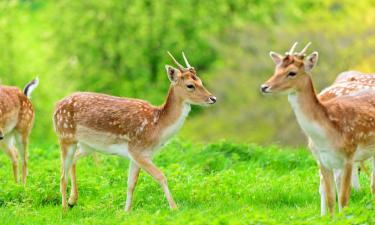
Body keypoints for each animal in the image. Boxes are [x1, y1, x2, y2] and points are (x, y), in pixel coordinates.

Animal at [53, 51, 217, 211]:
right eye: (190, 85)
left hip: (86, 145)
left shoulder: (137, 155)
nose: (213, 98)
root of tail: (55, 108)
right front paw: (174, 208)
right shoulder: (137, 150)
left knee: (74, 160)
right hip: (65, 137)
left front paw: (126, 212)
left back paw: (72, 200)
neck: (157, 126)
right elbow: (161, 176)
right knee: (62, 176)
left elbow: (131, 184)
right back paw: (64, 210)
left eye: (201, 81)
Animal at [262, 42, 375, 216]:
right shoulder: (323, 160)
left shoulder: (349, 157)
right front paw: (328, 218)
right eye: (276, 69)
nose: (264, 86)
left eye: (292, 72)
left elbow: (344, 199)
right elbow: (330, 198)